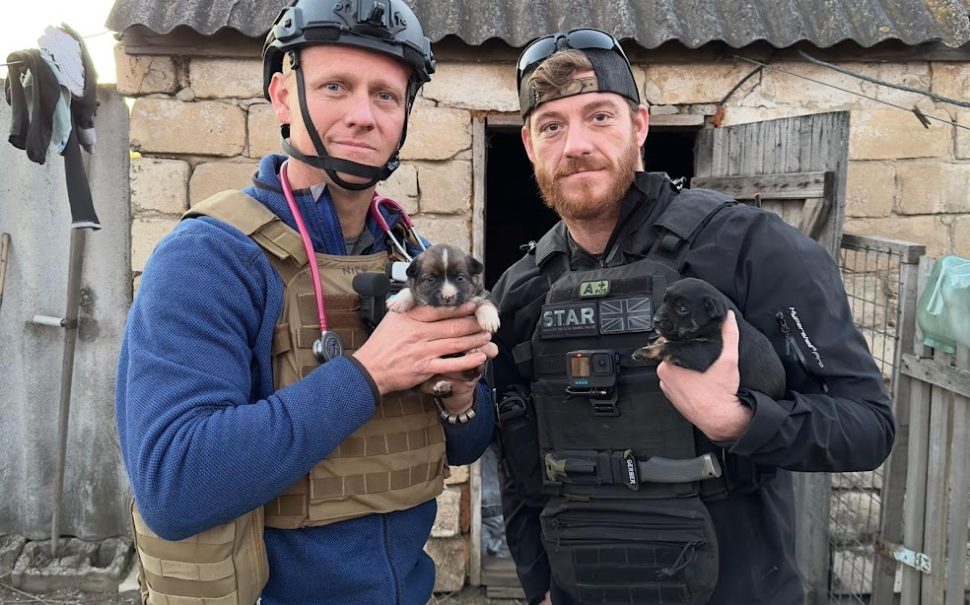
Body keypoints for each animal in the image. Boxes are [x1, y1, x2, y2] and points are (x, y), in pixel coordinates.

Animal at [384, 243, 500, 398]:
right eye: (430, 279)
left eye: (460, 278)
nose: (447, 296)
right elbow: (408, 289)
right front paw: (398, 300)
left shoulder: (483, 294)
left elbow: (485, 302)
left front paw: (489, 319)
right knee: (423, 386)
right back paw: (440, 386)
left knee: (471, 371)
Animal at [628, 276, 788, 398]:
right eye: (664, 301)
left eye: (682, 309)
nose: (655, 320)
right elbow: (665, 340)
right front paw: (651, 343)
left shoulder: (702, 351)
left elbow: (671, 346)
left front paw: (644, 352)